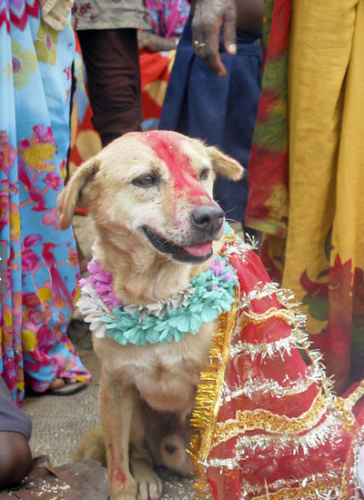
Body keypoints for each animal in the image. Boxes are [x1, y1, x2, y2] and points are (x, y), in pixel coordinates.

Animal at [58, 132, 243, 500]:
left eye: (203, 173)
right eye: (146, 180)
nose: (212, 217)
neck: (156, 301)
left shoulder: (216, 389)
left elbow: (219, 463)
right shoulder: (115, 387)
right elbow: (118, 468)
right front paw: (127, 487)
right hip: (134, 413)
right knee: (138, 453)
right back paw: (145, 475)